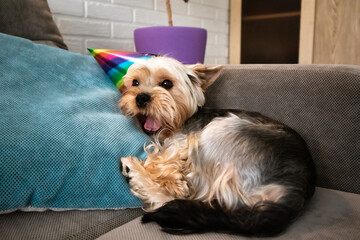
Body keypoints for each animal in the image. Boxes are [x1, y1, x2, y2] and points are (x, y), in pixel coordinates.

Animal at [119, 56, 316, 236]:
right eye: (135, 83)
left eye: (167, 83)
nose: (141, 97)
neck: (173, 126)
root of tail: (294, 192)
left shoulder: (184, 142)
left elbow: (159, 159)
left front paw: (172, 179)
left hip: (219, 132)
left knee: (171, 198)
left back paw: (132, 168)